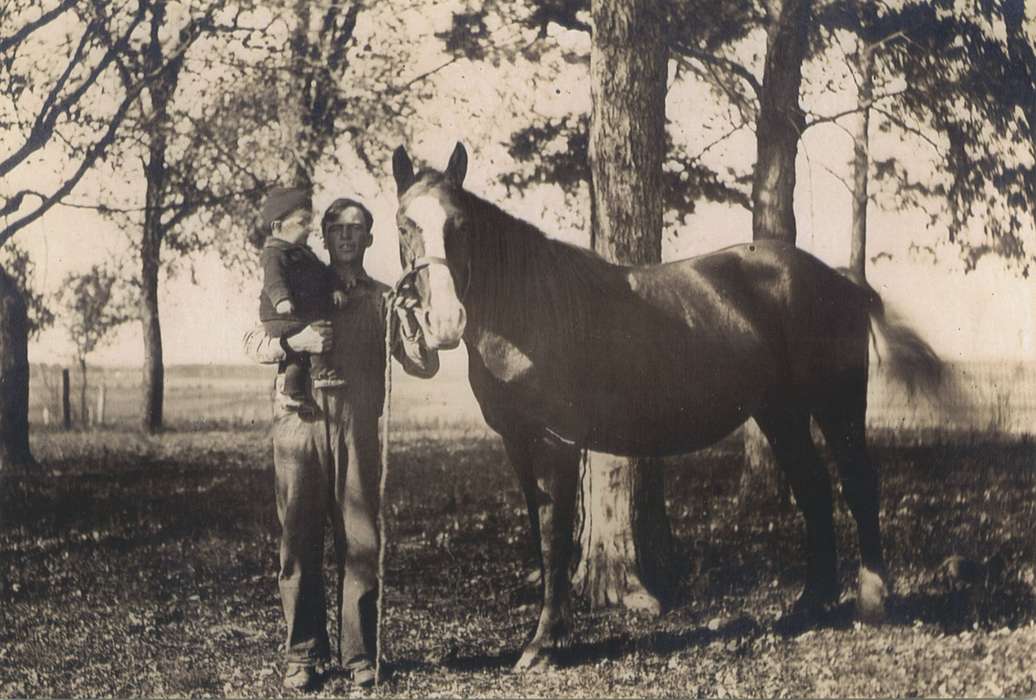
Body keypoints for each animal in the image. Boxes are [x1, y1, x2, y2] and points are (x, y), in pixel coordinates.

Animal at [387, 141, 940, 671]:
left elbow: (554, 536)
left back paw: (871, 600)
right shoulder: (518, 444)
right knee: (814, 488)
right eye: (404, 224)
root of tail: (841, 280)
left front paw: (544, 644)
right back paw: (808, 605)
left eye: (460, 224)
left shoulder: (555, 443)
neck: (530, 307)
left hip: (836, 405)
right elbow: (542, 532)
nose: (444, 322)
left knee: (858, 483)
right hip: (779, 412)